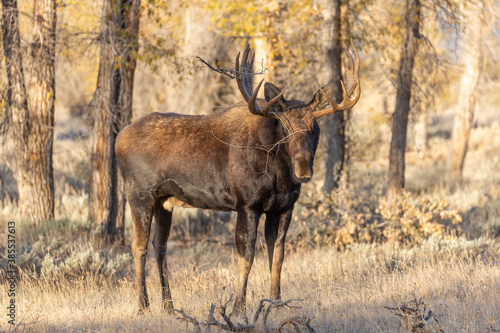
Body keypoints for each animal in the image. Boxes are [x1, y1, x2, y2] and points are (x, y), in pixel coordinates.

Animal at [115, 40, 362, 312]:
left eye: (314, 127)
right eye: (284, 128)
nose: (303, 167)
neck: (280, 176)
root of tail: (118, 139)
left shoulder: (283, 208)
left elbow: (277, 257)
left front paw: (277, 303)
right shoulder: (247, 205)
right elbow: (246, 258)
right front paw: (238, 306)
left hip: (164, 201)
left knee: (159, 246)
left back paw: (169, 305)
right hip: (139, 194)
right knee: (138, 247)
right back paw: (143, 305)